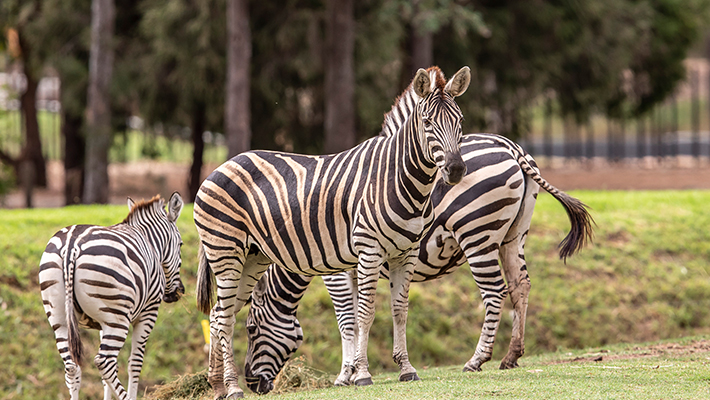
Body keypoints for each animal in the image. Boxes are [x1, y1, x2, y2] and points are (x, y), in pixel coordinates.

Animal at [39, 192, 185, 398]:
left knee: (72, 367)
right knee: (104, 362)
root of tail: (71, 246)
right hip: (117, 318)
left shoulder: (102, 322)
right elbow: (135, 362)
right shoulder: (148, 312)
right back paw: (125, 397)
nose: (178, 293)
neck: (150, 242)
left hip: (59, 317)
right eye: (181, 244)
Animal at [195, 65, 472, 396]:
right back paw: (232, 388)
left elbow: (399, 310)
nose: (455, 170)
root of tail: (220, 166)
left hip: (252, 258)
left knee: (217, 315)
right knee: (223, 318)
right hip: (226, 254)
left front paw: (405, 369)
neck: (398, 178)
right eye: (427, 123)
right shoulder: (363, 254)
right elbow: (360, 314)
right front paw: (360, 374)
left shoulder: (406, 253)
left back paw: (219, 387)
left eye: (460, 121)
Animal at [243, 133, 596, 392]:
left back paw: (477, 359)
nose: (252, 384)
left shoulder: (336, 270)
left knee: (495, 291)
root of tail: (508, 145)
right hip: (514, 234)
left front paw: (346, 375)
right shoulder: (356, 263)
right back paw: (511, 355)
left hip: (476, 232)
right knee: (520, 285)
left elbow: (346, 319)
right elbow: (358, 314)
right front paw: (356, 370)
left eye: (250, 329)